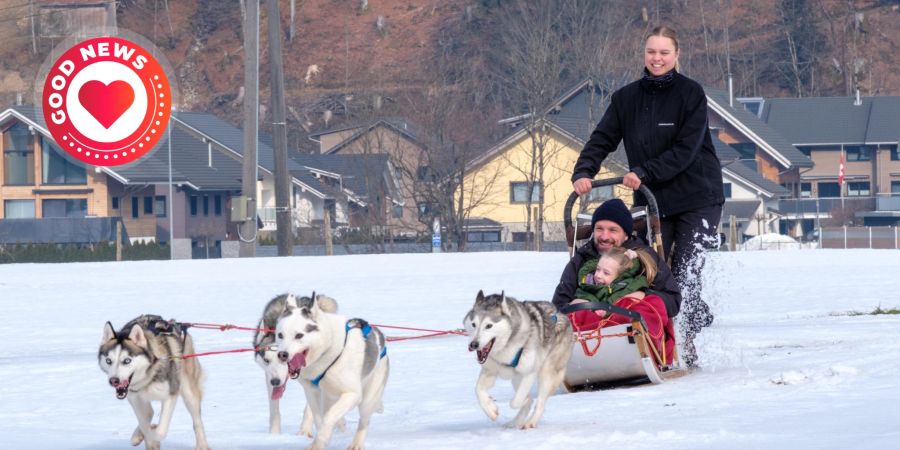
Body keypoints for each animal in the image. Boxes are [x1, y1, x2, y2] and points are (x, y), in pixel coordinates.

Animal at [98, 314, 209, 450]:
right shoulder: (135, 398)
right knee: (149, 413)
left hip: (188, 392)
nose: (113, 381)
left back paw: (202, 445)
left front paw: (154, 435)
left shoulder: (171, 395)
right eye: (108, 361)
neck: (148, 379)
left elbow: (160, 431)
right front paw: (144, 436)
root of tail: (176, 324)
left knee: (196, 420)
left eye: (127, 360)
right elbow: (144, 423)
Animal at [256, 292, 348, 436]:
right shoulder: (269, 376)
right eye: (266, 360)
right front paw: (274, 435)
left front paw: (304, 431)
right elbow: (274, 408)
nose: (275, 381)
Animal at [274, 292, 386, 450]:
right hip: (329, 397)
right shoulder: (312, 392)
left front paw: (320, 441)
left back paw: (356, 443)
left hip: (368, 399)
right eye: (280, 335)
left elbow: (328, 417)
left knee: (364, 421)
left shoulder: (352, 394)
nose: (282, 355)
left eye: (299, 335)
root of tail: (378, 335)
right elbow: (319, 418)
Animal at [468, 292, 572, 428]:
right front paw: (491, 410)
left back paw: (530, 422)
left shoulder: (529, 372)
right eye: (473, 324)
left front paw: (521, 401)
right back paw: (514, 422)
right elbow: (478, 390)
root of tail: (559, 313)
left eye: (489, 325)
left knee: (540, 402)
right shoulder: (490, 371)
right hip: (516, 378)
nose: (473, 344)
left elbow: (516, 402)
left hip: (546, 373)